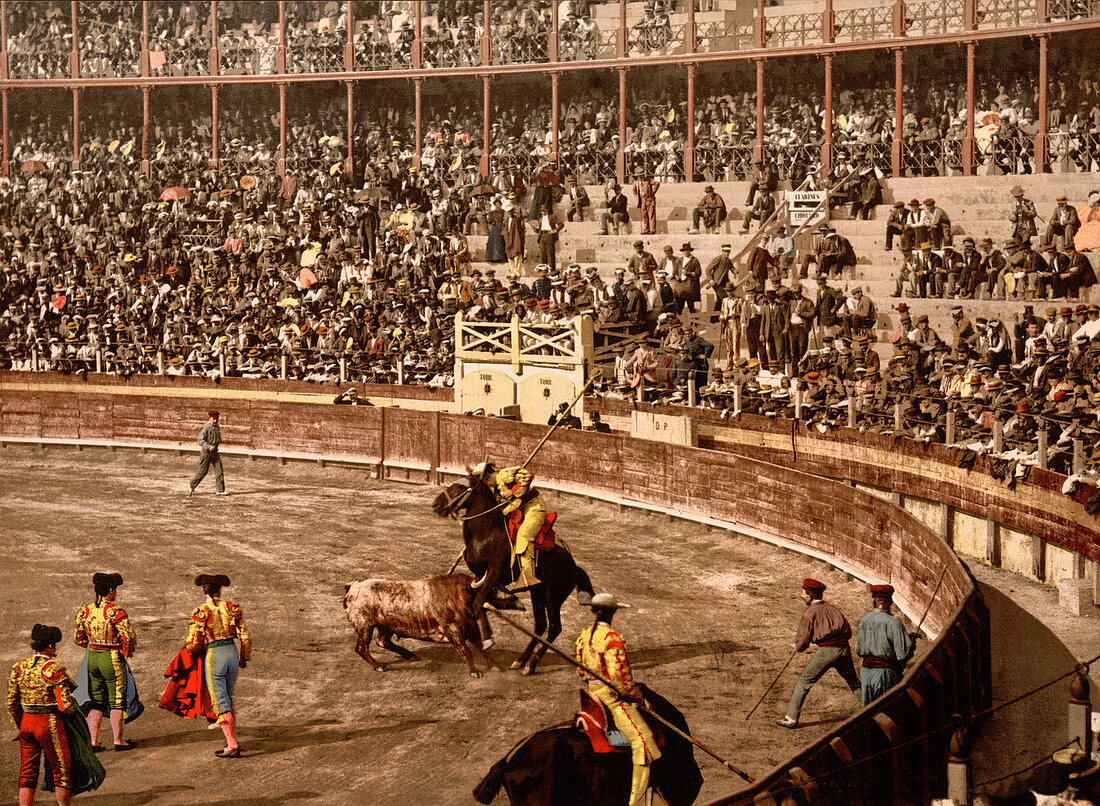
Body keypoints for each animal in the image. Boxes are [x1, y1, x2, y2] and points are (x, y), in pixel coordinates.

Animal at [341, 567, 525, 677]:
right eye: (494, 587)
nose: (517, 600)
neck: (458, 596)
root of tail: (353, 586)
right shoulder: (452, 631)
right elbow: (466, 651)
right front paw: (475, 671)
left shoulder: (471, 628)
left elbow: (481, 648)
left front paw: (495, 666)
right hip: (365, 626)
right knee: (361, 648)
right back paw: (379, 665)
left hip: (385, 626)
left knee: (382, 641)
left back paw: (410, 655)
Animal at [433, 466, 598, 672]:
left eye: (461, 486)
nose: (435, 504)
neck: (486, 532)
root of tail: (574, 566)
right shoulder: (481, 576)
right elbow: (481, 602)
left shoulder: (493, 571)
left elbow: (478, 603)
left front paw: (488, 639)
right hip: (537, 593)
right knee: (540, 625)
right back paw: (520, 661)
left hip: (553, 596)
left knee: (554, 627)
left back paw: (531, 665)